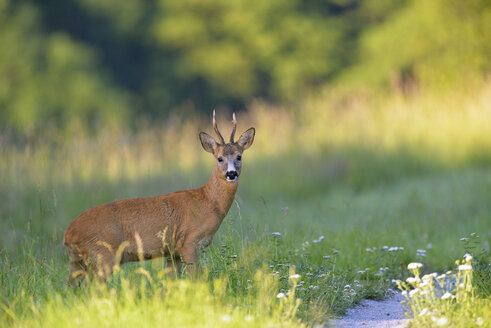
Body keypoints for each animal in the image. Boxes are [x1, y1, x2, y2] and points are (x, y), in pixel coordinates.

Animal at [63, 111, 256, 286]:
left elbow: (170, 282)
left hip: (78, 262)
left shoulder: (172, 251)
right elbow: (196, 278)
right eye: (219, 158)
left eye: (239, 156)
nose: (231, 174)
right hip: (103, 255)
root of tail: (68, 233)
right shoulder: (189, 243)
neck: (207, 201)